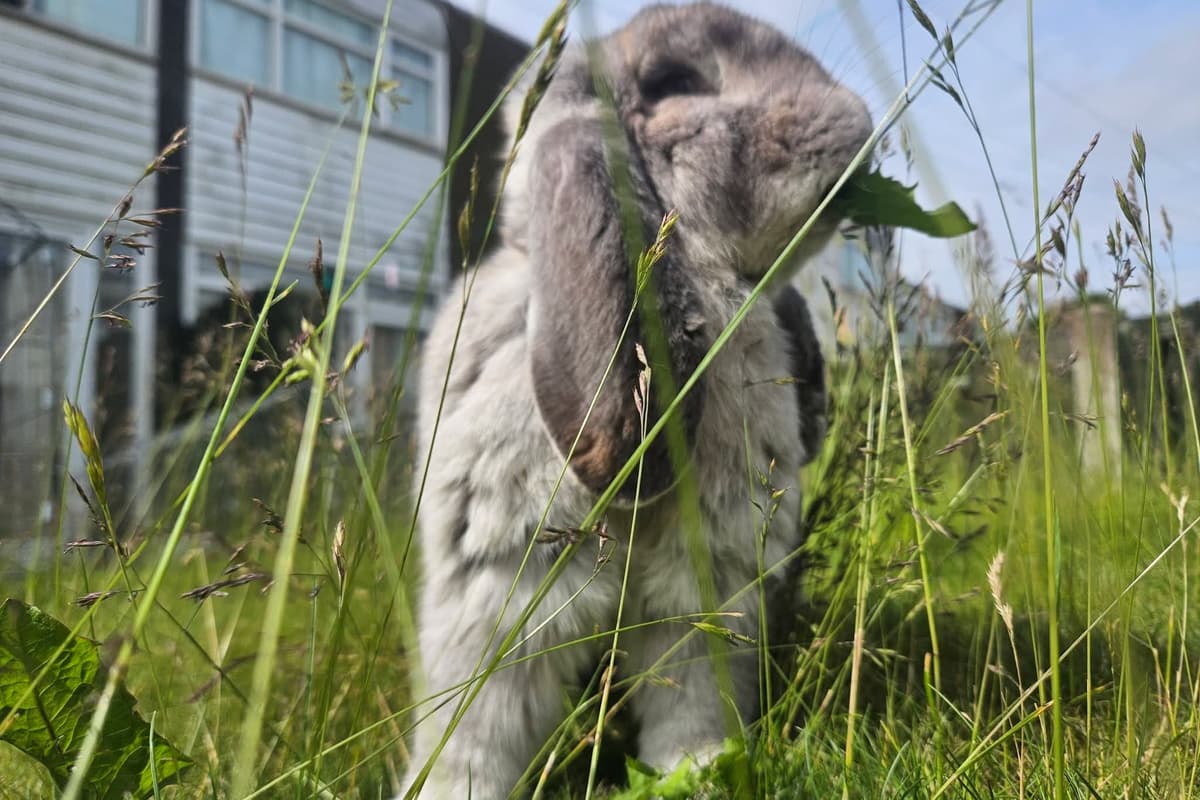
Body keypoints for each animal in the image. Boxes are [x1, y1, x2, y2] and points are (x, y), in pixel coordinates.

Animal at [400, 3, 871, 797]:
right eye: (676, 84)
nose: (861, 129)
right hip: (502, 604)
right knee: (478, 723)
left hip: (702, 602)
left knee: (687, 692)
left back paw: (699, 769)